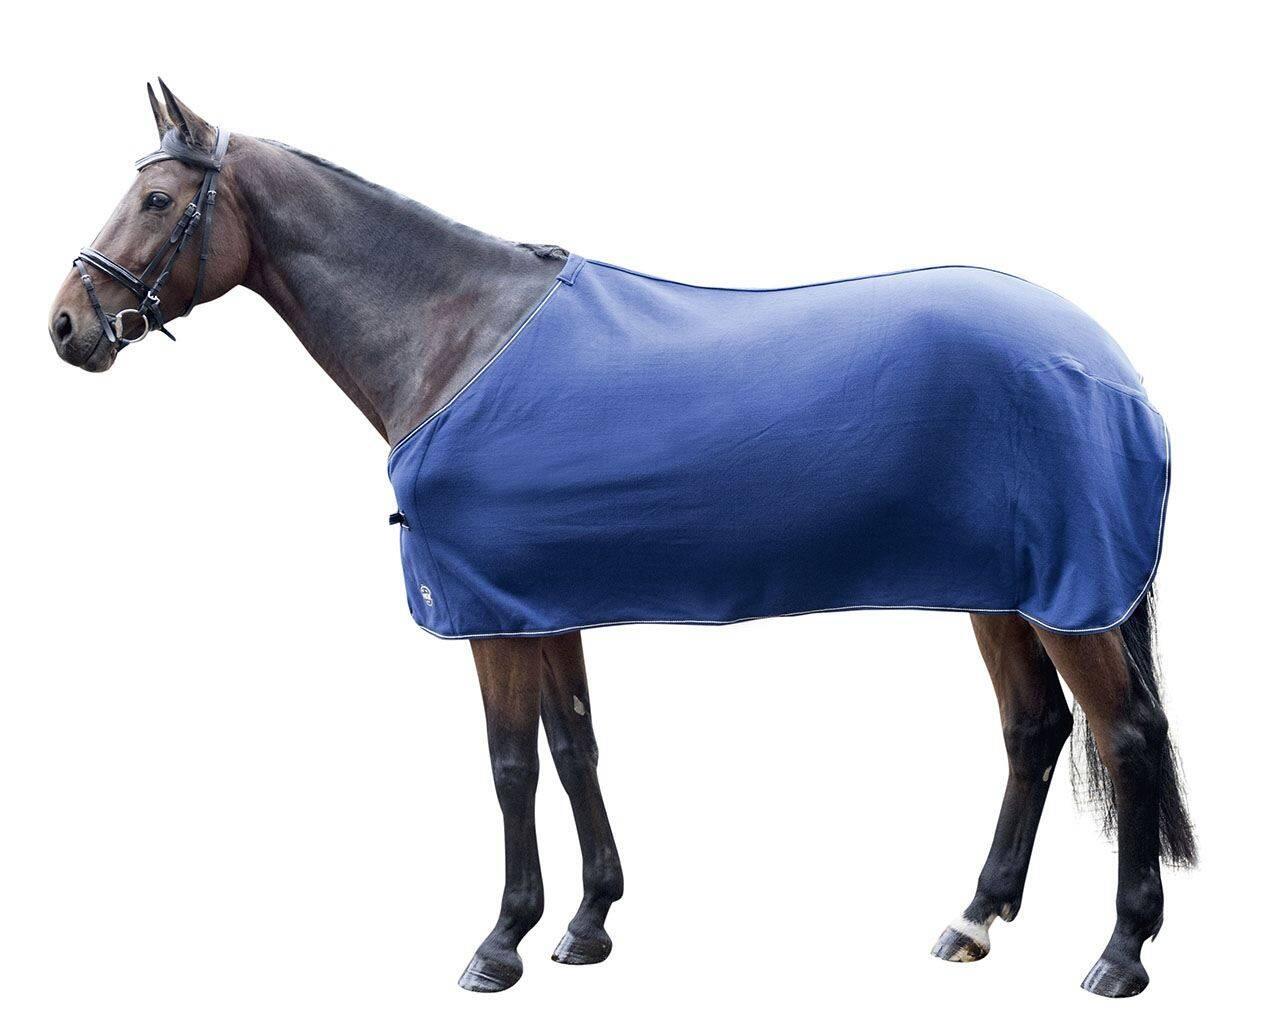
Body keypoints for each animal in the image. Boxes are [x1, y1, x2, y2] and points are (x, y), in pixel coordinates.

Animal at [46, 82, 1195, 997]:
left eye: (157, 200)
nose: (65, 325)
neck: (455, 335)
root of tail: (1113, 367)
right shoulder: (538, 602)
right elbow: (573, 747)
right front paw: (588, 921)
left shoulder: (488, 614)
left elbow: (510, 761)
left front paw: (499, 942)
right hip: (1002, 590)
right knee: (1034, 731)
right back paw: (972, 919)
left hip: (1068, 600)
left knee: (1127, 735)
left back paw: (1119, 953)